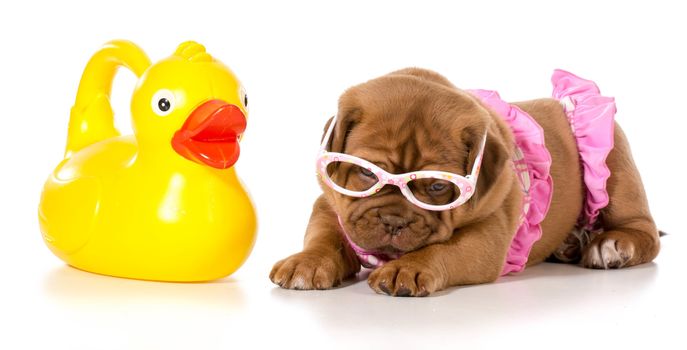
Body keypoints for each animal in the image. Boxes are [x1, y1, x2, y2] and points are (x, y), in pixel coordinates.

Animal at [268, 67, 660, 296]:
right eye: (366, 173)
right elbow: (324, 236)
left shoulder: (488, 236)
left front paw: (407, 269)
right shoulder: (329, 204)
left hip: (616, 168)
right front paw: (308, 261)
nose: (393, 221)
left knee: (644, 230)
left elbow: (443, 249)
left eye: (438, 187)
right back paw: (568, 245)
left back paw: (610, 245)